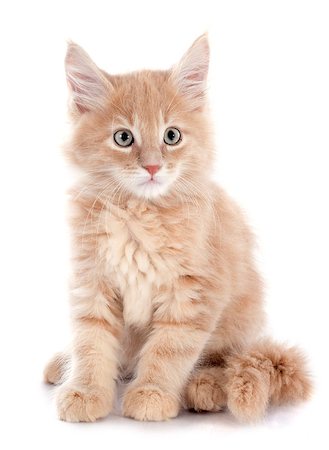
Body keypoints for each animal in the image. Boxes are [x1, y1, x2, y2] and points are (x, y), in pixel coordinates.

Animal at [43, 34, 310, 422]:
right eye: (123, 138)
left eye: (172, 136)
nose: (153, 167)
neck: (139, 214)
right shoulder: (92, 281)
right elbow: (91, 342)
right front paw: (86, 391)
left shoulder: (194, 293)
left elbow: (169, 349)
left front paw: (152, 395)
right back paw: (62, 364)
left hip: (239, 323)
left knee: (224, 359)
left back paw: (205, 386)